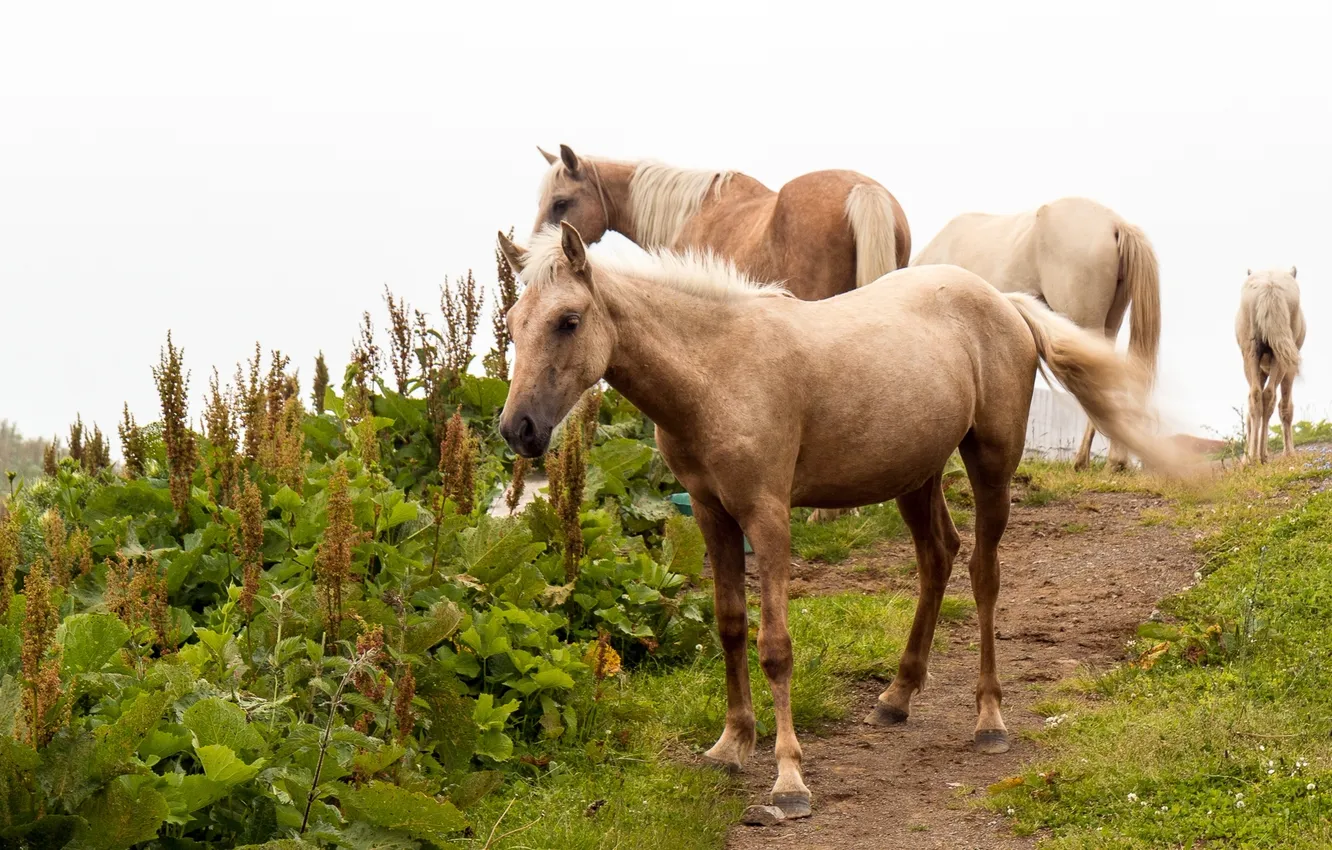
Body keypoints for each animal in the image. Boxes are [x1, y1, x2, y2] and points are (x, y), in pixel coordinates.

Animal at [1235, 267, 1306, 464]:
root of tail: (1270, 285)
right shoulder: (1289, 368)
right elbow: (1286, 407)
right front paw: (1289, 453)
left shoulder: (1260, 370)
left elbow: (1251, 412)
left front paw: (1246, 457)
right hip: (1281, 360)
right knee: (1270, 396)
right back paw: (1262, 455)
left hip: (1251, 352)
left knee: (1256, 395)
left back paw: (1253, 457)